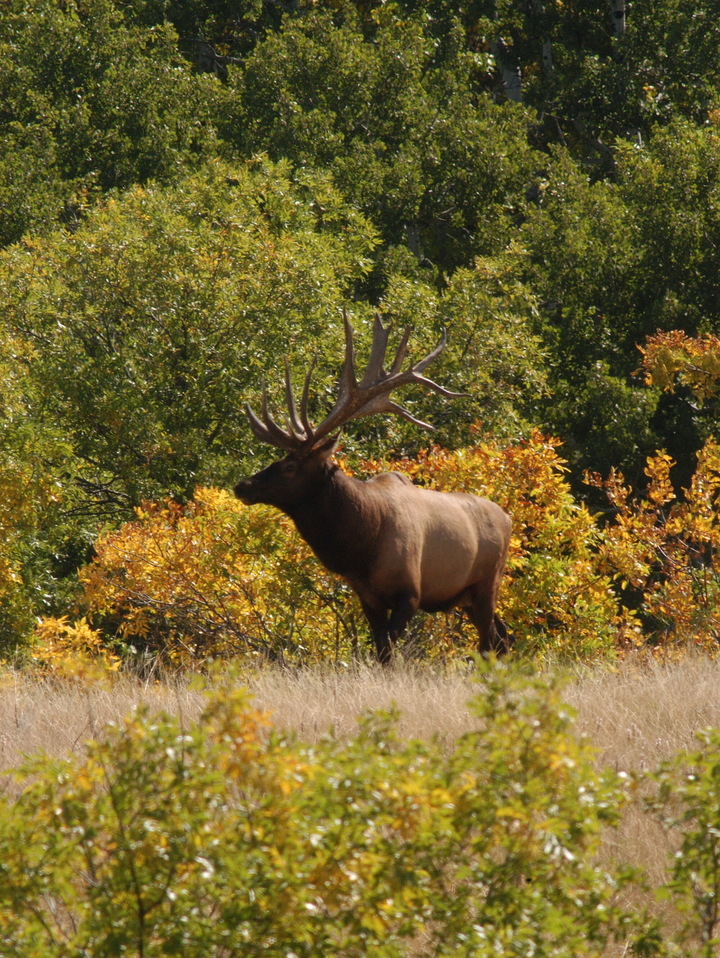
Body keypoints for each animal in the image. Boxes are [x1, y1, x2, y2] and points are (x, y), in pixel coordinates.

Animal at [234, 313, 512, 663]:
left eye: (290, 466)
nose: (242, 486)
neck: (362, 546)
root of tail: (509, 519)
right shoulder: (367, 597)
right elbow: (381, 650)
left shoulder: (410, 593)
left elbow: (389, 652)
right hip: (468, 596)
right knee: (503, 635)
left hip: (488, 582)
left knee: (490, 641)